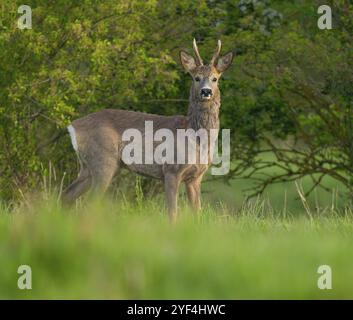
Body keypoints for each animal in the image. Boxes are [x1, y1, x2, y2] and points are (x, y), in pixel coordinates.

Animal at [62, 38, 234, 221]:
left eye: (215, 78)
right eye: (196, 78)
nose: (206, 91)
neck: (195, 137)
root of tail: (73, 126)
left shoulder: (195, 177)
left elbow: (197, 213)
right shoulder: (171, 170)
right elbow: (172, 213)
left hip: (88, 166)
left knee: (67, 195)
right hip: (103, 161)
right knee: (89, 203)